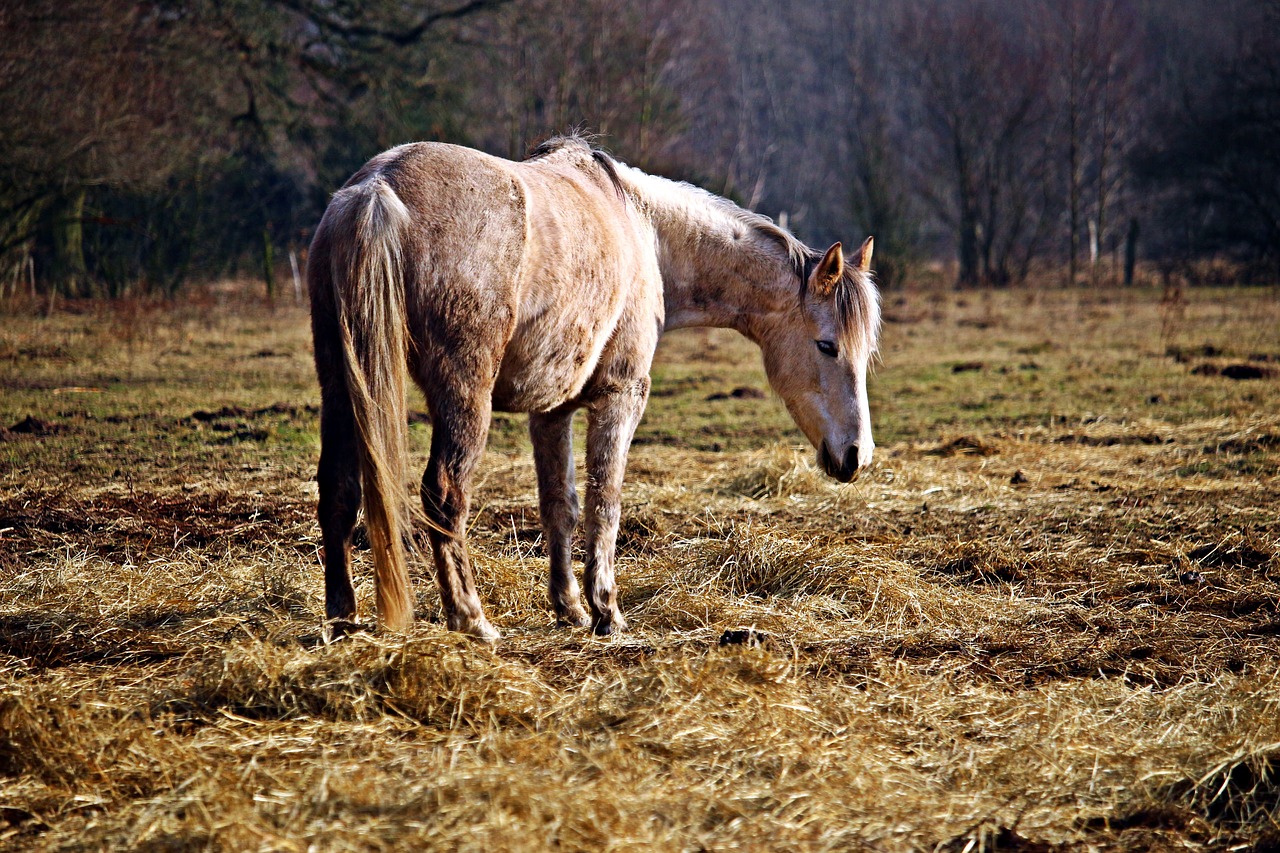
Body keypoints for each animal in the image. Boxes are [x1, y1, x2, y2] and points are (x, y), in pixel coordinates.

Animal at [307, 136, 880, 635]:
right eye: (827, 345)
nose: (857, 455)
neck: (642, 227)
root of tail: (377, 189)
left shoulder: (551, 408)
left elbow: (560, 504)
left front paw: (570, 610)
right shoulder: (621, 395)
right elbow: (606, 501)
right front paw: (607, 611)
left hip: (340, 382)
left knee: (338, 488)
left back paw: (342, 618)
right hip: (463, 394)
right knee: (445, 494)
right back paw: (472, 620)